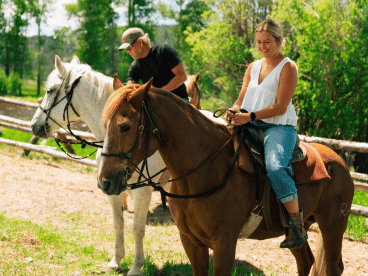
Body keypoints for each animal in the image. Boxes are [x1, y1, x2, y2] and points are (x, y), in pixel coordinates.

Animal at [31, 55, 226, 274]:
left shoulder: (142, 192)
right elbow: (118, 224)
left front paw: (136, 266)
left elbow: (137, 228)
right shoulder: (112, 189)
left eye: (49, 90)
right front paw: (116, 261)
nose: (34, 125)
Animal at [97, 77, 354, 276]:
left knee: (333, 267)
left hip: (333, 227)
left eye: (125, 126)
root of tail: (339, 162)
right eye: (104, 124)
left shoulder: (225, 244)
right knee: (306, 262)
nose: (105, 182)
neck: (206, 170)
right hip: (297, 231)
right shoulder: (191, 241)